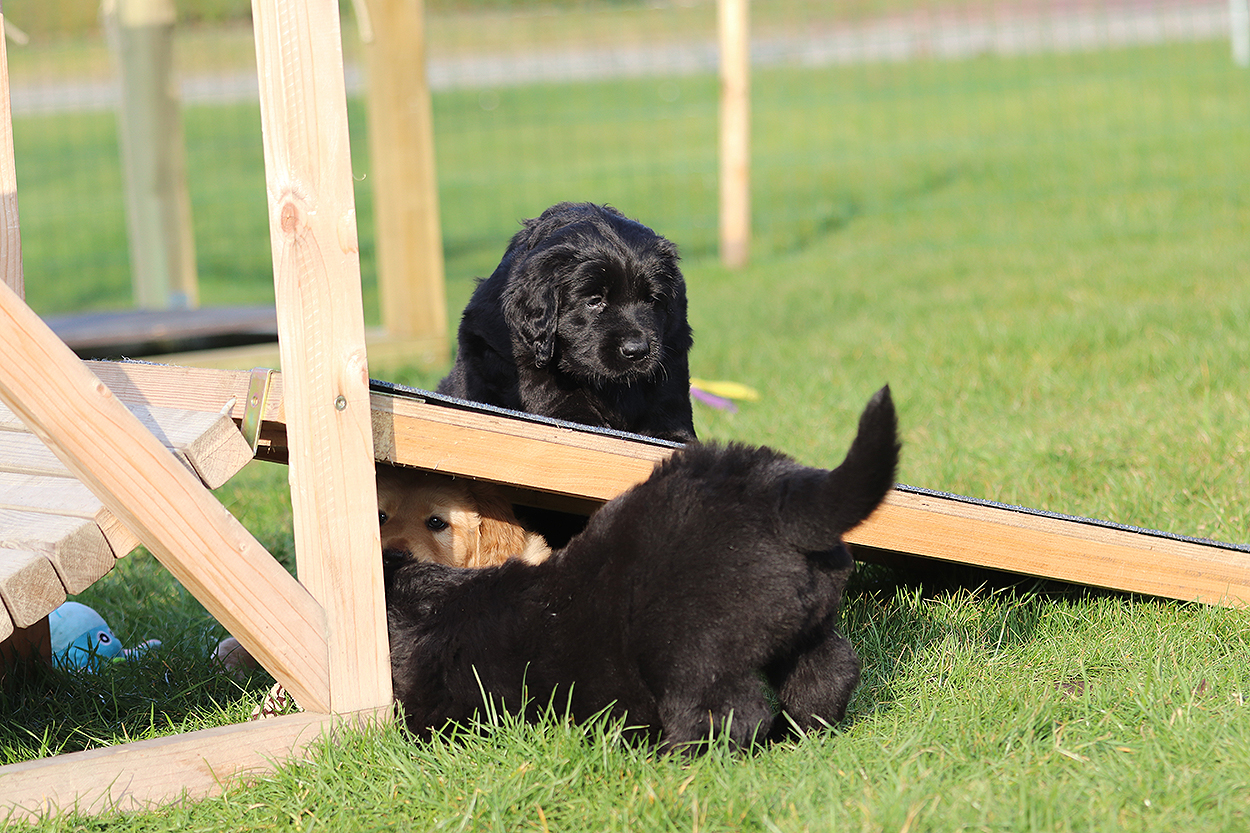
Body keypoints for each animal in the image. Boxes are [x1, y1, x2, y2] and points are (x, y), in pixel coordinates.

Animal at [385, 386, 899, 752]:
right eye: (381, 515)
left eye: (438, 523)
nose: (391, 552)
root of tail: (781, 496)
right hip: (805, 627)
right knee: (827, 675)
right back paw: (796, 734)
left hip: (690, 652)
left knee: (729, 713)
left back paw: (679, 757)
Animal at [437, 202, 696, 442]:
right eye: (594, 301)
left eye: (652, 300)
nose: (637, 350)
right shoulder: (509, 349)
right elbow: (549, 386)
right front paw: (582, 420)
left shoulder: (673, 343)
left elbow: (667, 394)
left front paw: (675, 436)